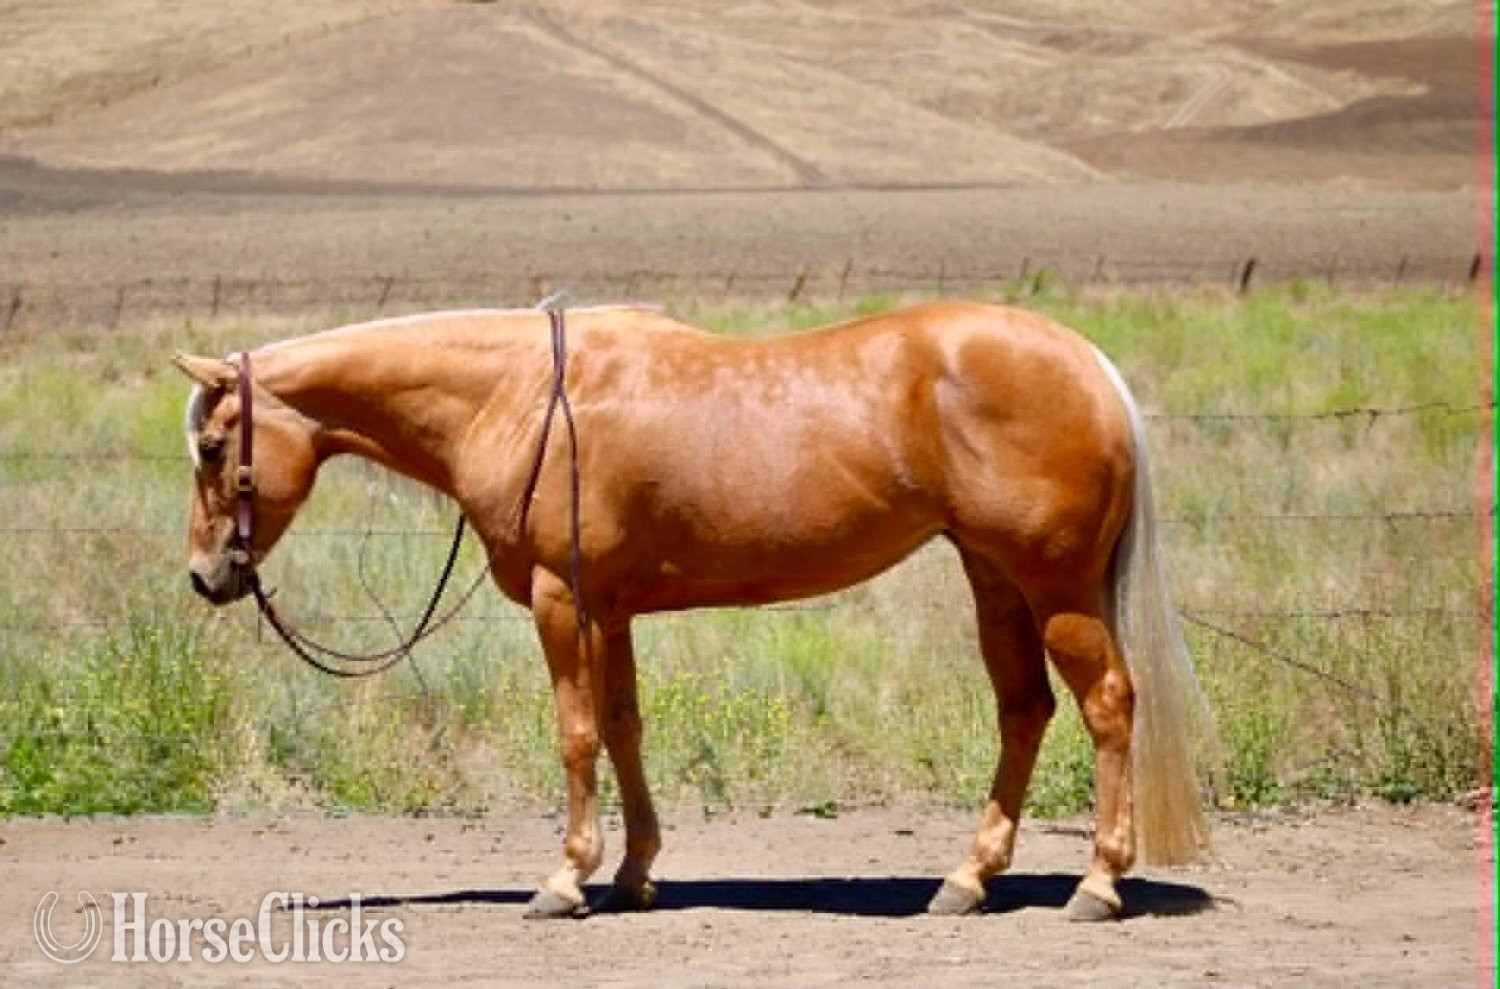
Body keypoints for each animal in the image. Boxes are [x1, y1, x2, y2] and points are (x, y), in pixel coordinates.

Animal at [174, 299, 1211, 921]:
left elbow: (575, 735)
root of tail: (1087, 362)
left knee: (1107, 706)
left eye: (217, 445)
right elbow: (624, 727)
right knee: (1024, 710)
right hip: (995, 580)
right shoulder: (611, 609)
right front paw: (634, 872)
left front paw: (565, 879)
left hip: (1055, 588)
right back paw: (967, 879)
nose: (203, 576)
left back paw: (1098, 883)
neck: (522, 396)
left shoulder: (562, 601)